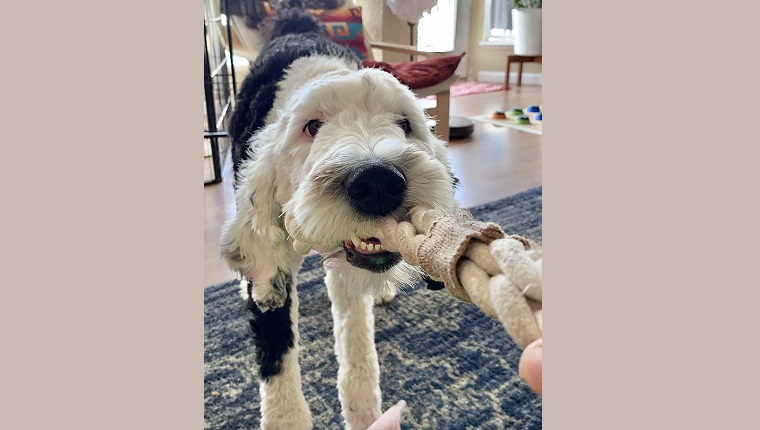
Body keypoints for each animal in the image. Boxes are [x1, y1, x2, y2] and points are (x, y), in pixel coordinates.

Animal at [220, 10, 458, 430]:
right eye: (312, 126)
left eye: (404, 123)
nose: (378, 182)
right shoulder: (272, 265)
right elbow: (276, 349)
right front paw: (287, 417)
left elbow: (357, 343)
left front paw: (365, 413)